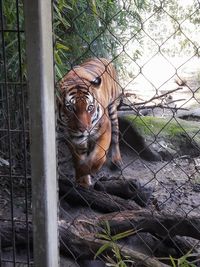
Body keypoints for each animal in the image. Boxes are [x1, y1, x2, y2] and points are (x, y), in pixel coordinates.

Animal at [57, 58, 122, 188]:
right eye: (70, 108)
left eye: (90, 107)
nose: (83, 129)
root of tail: (104, 58)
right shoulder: (72, 138)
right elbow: (78, 158)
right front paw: (82, 181)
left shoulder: (105, 128)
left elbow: (98, 158)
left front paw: (83, 171)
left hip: (113, 108)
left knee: (116, 135)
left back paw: (116, 160)